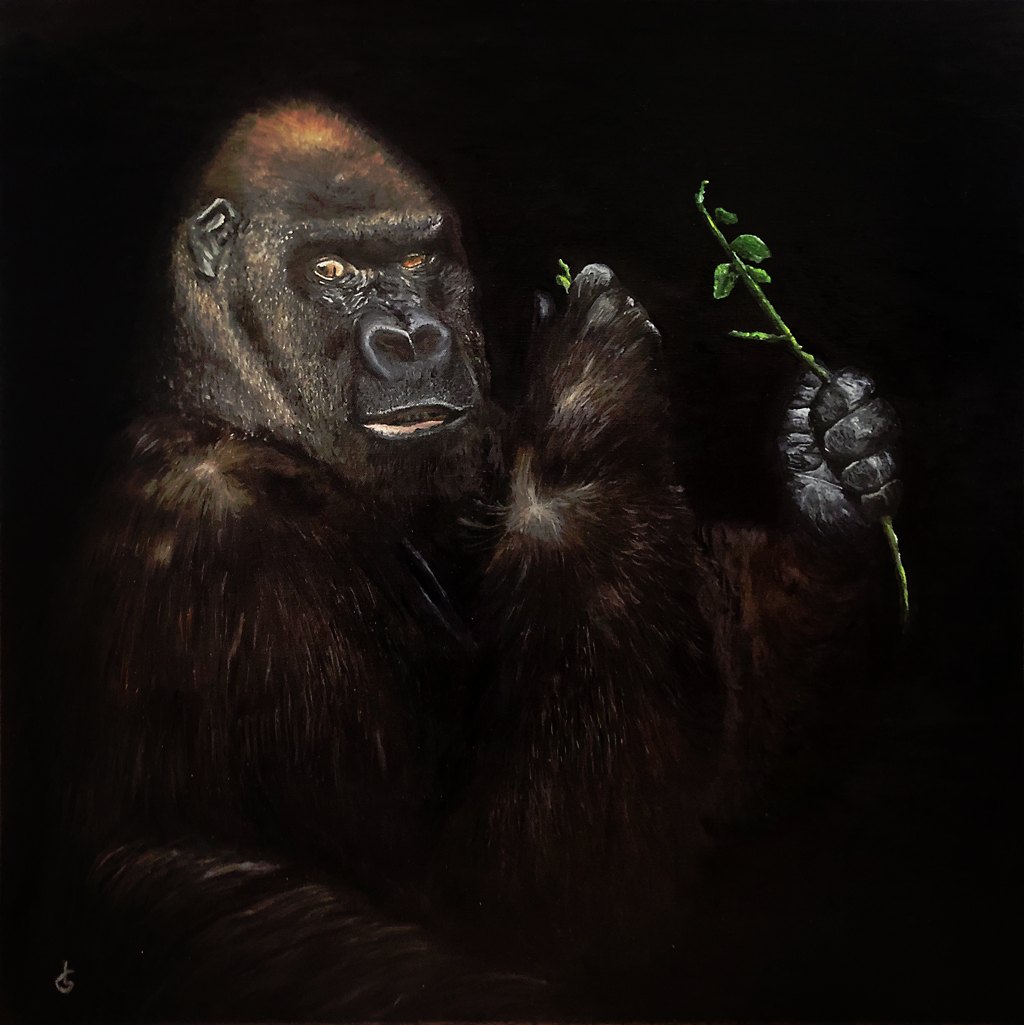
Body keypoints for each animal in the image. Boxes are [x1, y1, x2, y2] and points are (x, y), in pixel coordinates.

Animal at [48, 100, 902, 1021]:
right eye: (333, 269)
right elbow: (519, 902)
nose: (413, 336)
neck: (247, 415)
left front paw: (827, 475)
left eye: (417, 261)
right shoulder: (224, 548)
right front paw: (590, 392)